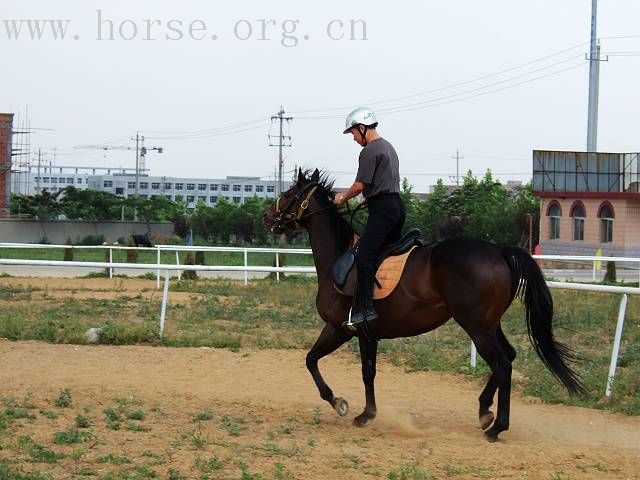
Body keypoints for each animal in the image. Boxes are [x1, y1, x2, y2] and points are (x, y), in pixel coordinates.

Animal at [262, 169, 584, 442]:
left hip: (477, 328)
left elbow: (311, 360)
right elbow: (367, 373)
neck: (337, 257)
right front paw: (367, 414)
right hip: (490, 325)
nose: (267, 216)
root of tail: (499, 251)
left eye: (289, 193)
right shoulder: (367, 335)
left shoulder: (339, 329)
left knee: (502, 365)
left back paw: (496, 428)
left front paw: (339, 402)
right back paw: (484, 412)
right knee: (509, 357)